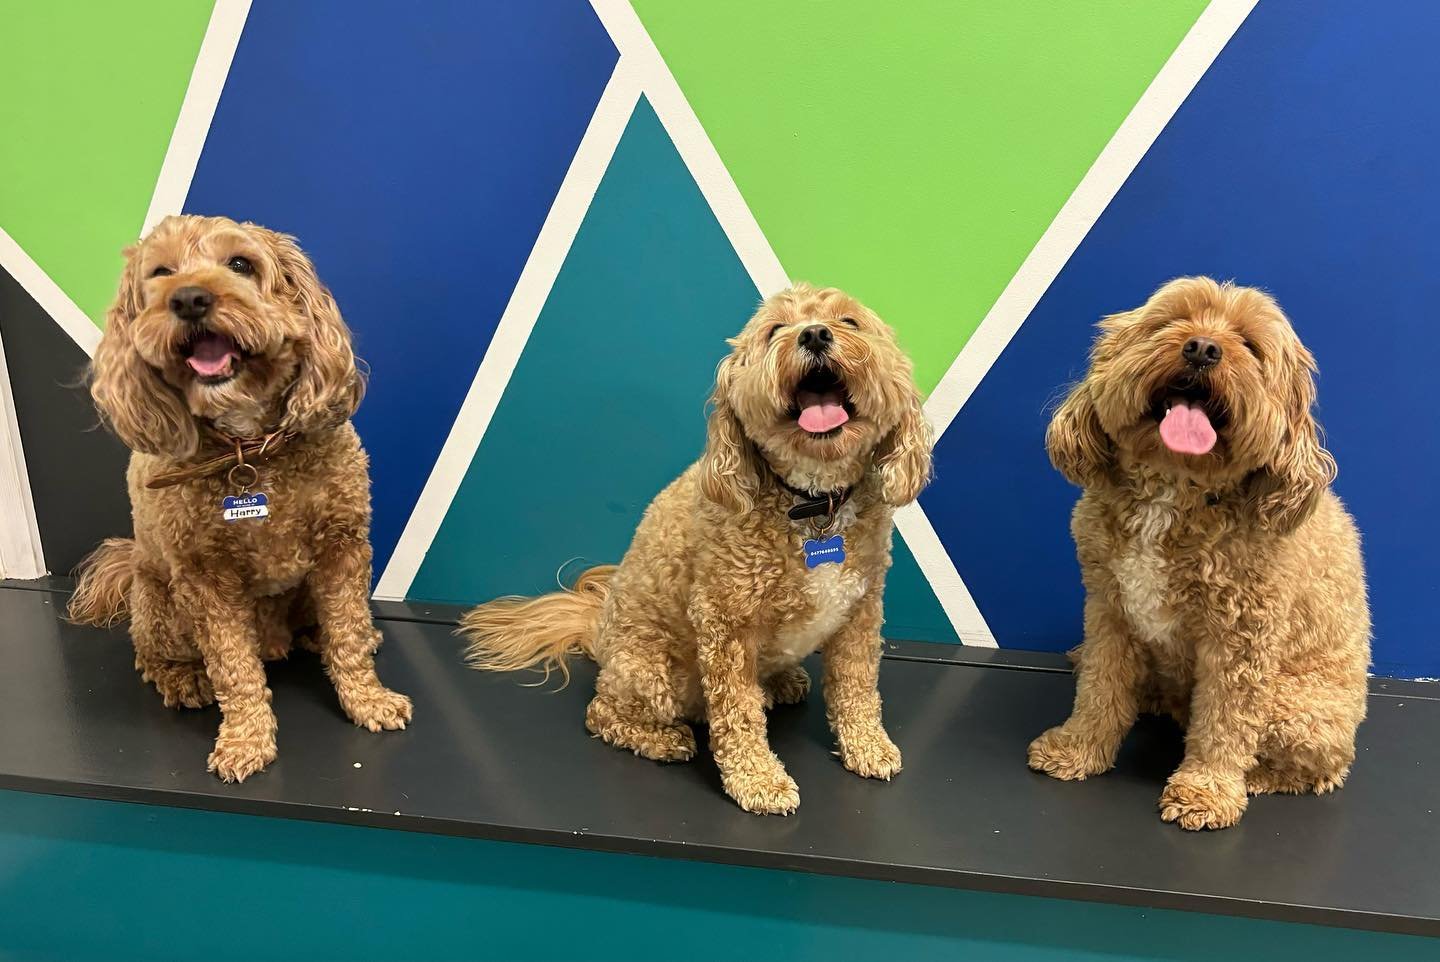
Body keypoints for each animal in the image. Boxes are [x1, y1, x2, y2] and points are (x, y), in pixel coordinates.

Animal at [70, 216, 414, 783]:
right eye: (160, 273)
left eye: (240, 264)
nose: (189, 298)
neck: (249, 450)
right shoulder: (206, 580)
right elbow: (234, 667)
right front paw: (246, 740)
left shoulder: (342, 546)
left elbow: (347, 634)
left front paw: (369, 700)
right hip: (162, 607)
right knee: (152, 654)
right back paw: (183, 679)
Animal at [1025, 276, 1370, 829]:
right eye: (1171, 321)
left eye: (1250, 344)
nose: (1203, 348)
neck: (1173, 490)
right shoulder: (1109, 609)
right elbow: (1101, 687)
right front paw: (1077, 749)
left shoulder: (1241, 639)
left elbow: (1225, 722)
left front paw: (1205, 792)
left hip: (1299, 711)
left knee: (1319, 768)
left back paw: (1257, 778)